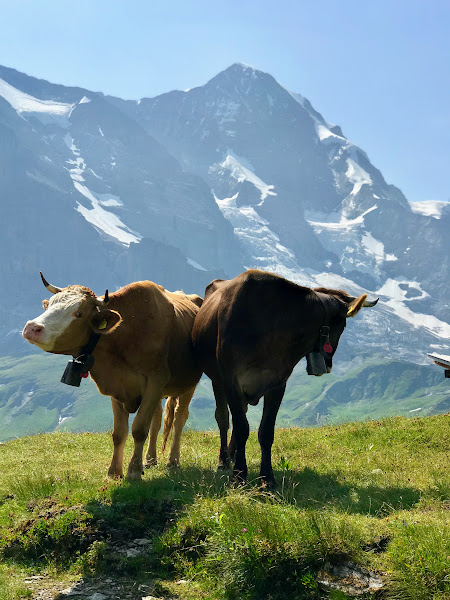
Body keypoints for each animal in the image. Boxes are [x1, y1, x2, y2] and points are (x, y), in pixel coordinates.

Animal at [22, 274, 202, 480]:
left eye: (79, 313)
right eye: (50, 304)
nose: (32, 328)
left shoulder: (155, 382)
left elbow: (139, 428)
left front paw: (133, 471)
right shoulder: (117, 385)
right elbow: (119, 433)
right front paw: (114, 472)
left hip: (188, 384)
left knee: (179, 418)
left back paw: (173, 461)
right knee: (157, 419)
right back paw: (149, 459)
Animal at [192, 270, 378, 486]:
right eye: (343, 325)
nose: (329, 365)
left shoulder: (278, 382)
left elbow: (265, 431)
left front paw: (267, 479)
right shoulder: (231, 381)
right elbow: (240, 427)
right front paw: (239, 475)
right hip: (217, 379)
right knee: (223, 418)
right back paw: (224, 460)